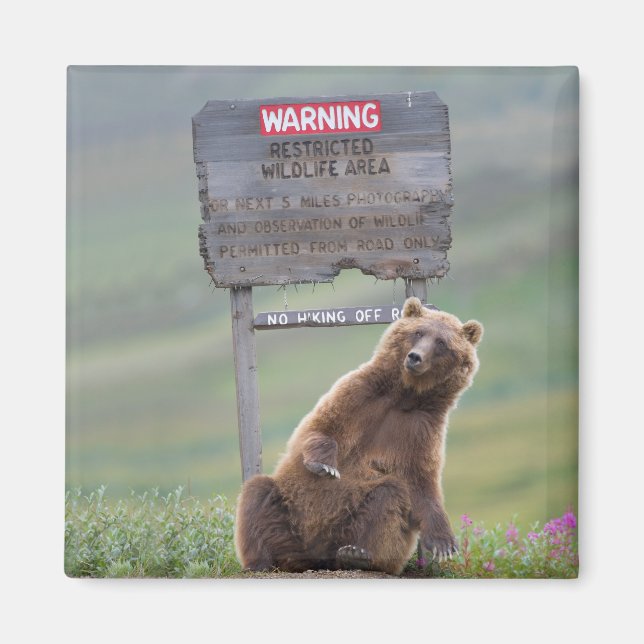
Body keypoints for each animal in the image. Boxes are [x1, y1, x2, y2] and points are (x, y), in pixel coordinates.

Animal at [234, 296, 483, 575]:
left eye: (442, 343)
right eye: (418, 332)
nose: (415, 357)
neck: (404, 395)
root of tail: (317, 558)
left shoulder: (421, 427)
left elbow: (421, 479)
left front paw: (443, 542)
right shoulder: (360, 394)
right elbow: (320, 427)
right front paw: (325, 465)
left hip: (348, 522)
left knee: (388, 496)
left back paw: (358, 554)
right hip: (289, 508)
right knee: (258, 494)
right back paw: (261, 562)